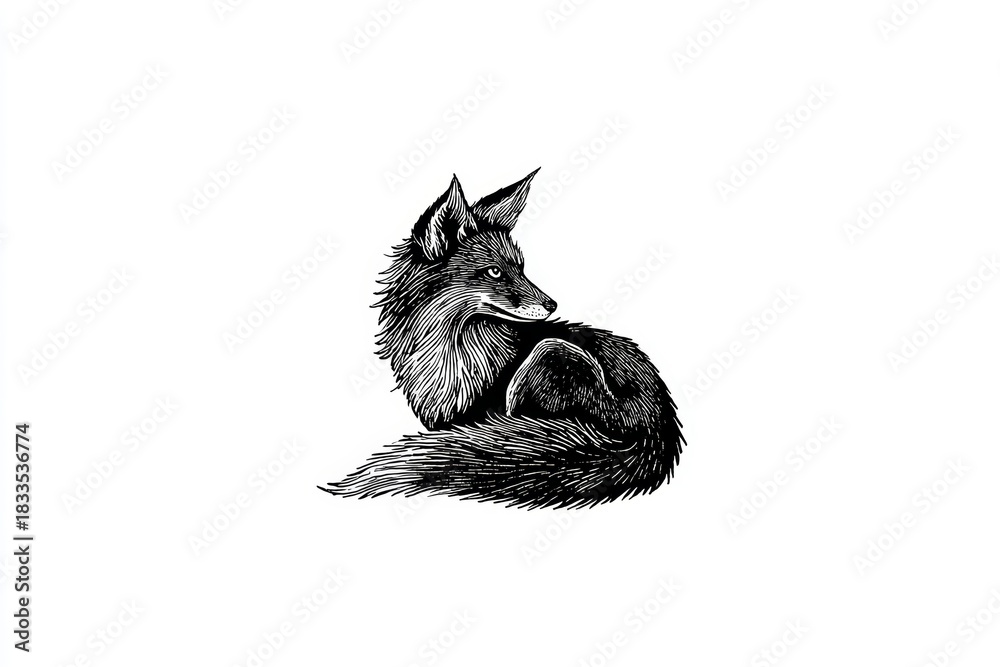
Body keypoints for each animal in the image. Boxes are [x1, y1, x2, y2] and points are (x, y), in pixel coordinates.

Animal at [322, 170, 684, 509]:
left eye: (521, 268)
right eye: (495, 272)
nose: (552, 305)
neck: (453, 353)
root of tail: (654, 428)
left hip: (548, 355)